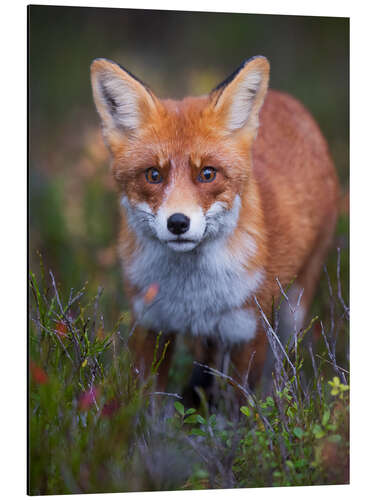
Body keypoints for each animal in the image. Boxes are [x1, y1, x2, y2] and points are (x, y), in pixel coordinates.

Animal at [91, 56, 340, 396]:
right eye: (153, 175)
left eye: (207, 174)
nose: (178, 223)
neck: (192, 295)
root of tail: (286, 99)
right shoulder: (150, 326)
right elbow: (148, 401)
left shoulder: (247, 332)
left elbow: (238, 407)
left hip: (295, 303)